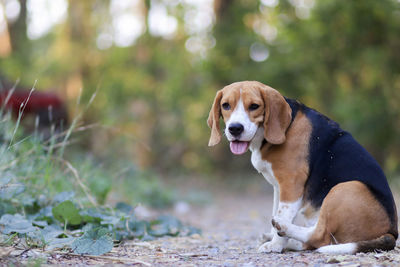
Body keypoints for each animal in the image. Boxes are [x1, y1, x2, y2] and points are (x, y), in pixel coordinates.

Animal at [208, 81, 398, 255]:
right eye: (226, 105)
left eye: (254, 106)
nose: (235, 128)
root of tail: (392, 233)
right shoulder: (278, 187)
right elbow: (276, 209)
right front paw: (274, 238)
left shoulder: (291, 184)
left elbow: (282, 213)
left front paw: (275, 245)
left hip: (347, 187)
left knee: (319, 237)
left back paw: (284, 228)